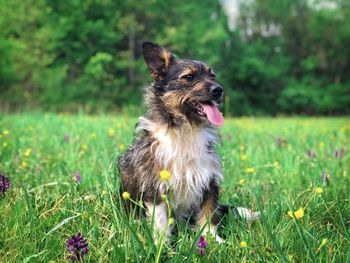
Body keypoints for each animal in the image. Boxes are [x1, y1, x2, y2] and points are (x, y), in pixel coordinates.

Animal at [117, 41, 258, 243]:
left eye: (212, 75)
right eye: (189, 77)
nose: (219, 90)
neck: (185, 129)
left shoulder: (208, 180)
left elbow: (209, 214)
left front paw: (212, 240)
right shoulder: (156, 185)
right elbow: (160, 221)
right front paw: (161, 245)